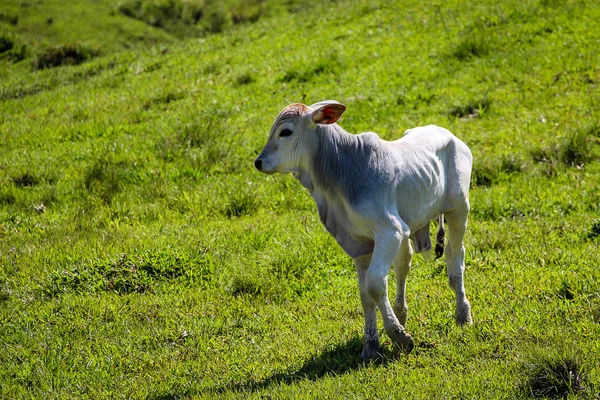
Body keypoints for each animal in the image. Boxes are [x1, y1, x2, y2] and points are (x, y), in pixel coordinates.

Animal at [255, 101, 472, 360]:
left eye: (285, 132)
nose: (258, 162)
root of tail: (450, 135)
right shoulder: (358, 243)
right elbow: (365, 295)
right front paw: (370, 346)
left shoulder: (390, 230)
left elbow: (375, 284)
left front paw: (400, 337)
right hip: (409, 229)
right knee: (404, 265)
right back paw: (401, 313)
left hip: (458, 209)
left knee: (455, 256)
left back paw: (463, 314)